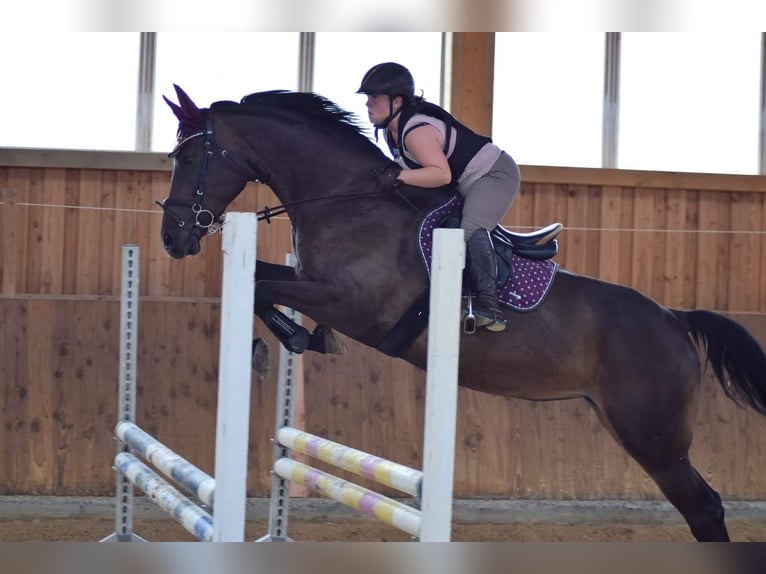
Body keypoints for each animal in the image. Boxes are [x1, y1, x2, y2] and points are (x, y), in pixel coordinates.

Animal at [158, 84, 766, 542]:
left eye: (187, 157)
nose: (172, 237)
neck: (349, 199)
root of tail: (675, 320)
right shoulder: (314, 282)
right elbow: (261, 280)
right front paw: (296, 341)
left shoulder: (352, 303)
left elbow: (262, 285)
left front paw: (298, 342)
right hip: (627, 424)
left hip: (653, 434)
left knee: (704, 507)